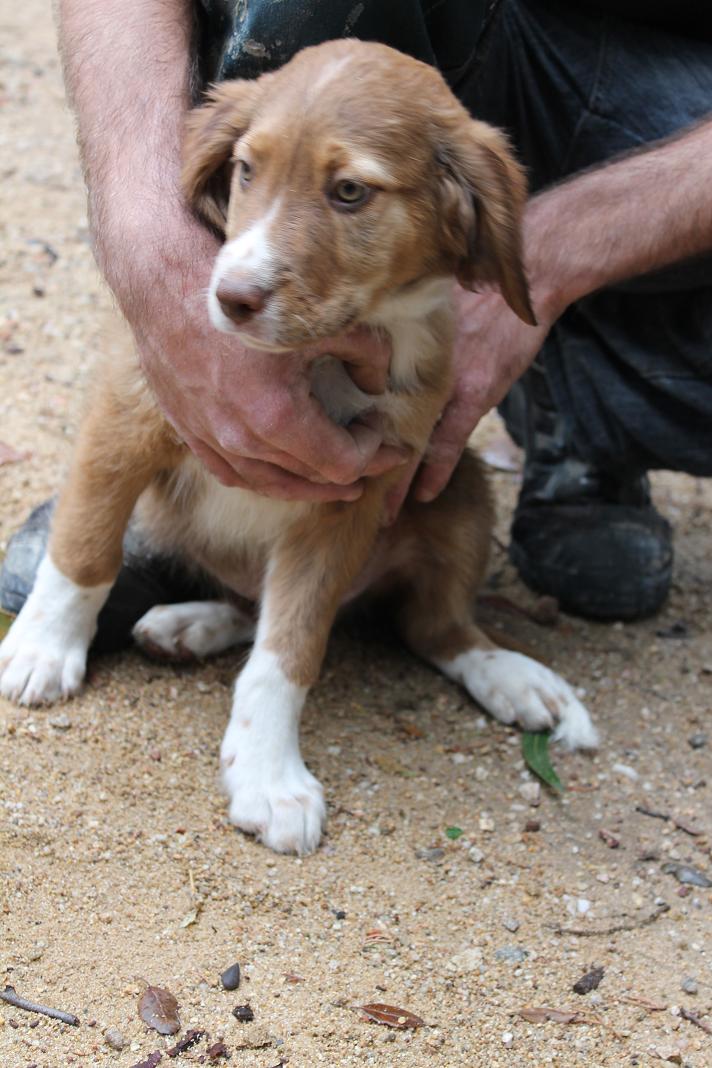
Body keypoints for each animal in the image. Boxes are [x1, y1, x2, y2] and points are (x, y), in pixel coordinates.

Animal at [0, 43, 597, 850]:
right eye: (247, 170)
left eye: (349, 192)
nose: (230, 298)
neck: (319, 356)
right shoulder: (127, 411)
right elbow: (84, 550)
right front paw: (42, 649)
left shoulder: (353, 497)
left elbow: (291, 647)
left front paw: (267, 774)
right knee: (255, 600)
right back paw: (187, 623)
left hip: (460, 489)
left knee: (433, 627)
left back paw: (514, 677)